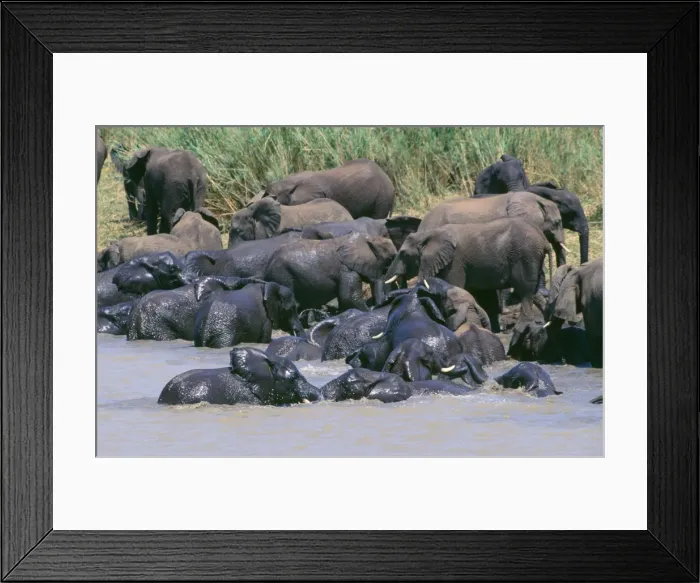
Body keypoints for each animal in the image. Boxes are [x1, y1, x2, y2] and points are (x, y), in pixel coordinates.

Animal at [262, 233, 397, 312]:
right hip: (281, 274)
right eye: (390, 258)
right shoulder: (345, 269)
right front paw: (369, 311)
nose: (378, 305)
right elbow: (348, 296)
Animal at [384, 218, 552, 332]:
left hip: (525, 255)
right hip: (532, 257)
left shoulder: (455, 261)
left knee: (525, 291)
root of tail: (544, 240)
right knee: (535, 291)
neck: (429, 234)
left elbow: (455, 285)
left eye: (403, 254)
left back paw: (522, 327)